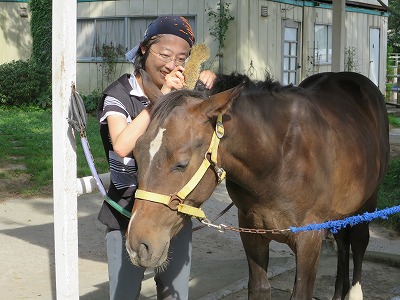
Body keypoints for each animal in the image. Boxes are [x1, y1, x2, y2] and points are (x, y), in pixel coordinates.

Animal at [126, 71, 390, 300]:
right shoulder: (251, 232)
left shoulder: (310, 238)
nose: (138, 246)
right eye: (136, 153)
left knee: (358, 243)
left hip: (368, 201)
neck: (279, 158)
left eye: (181, 164)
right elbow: (260, 288)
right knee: (343, 244)